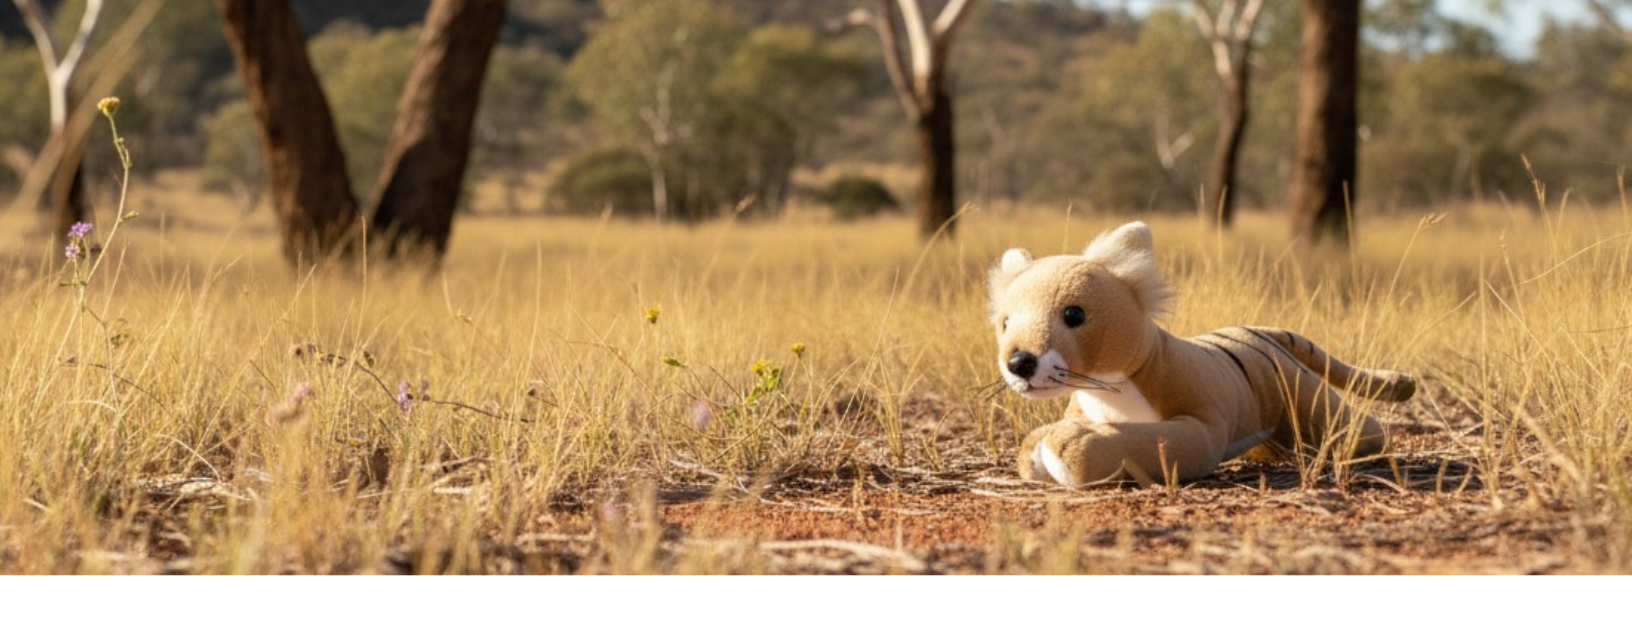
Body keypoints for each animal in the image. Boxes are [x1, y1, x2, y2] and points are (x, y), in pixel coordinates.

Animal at [988, 221, 1416, 487]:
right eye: (1005, 323)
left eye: (1074, 314)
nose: (1018, 362)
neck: (1106, 386)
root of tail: (1264, 331)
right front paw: (1038, 449)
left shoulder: (1201, 424)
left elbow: (1147, 441)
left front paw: (1070, 447)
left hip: (1311, 399)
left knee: (1363, 428)